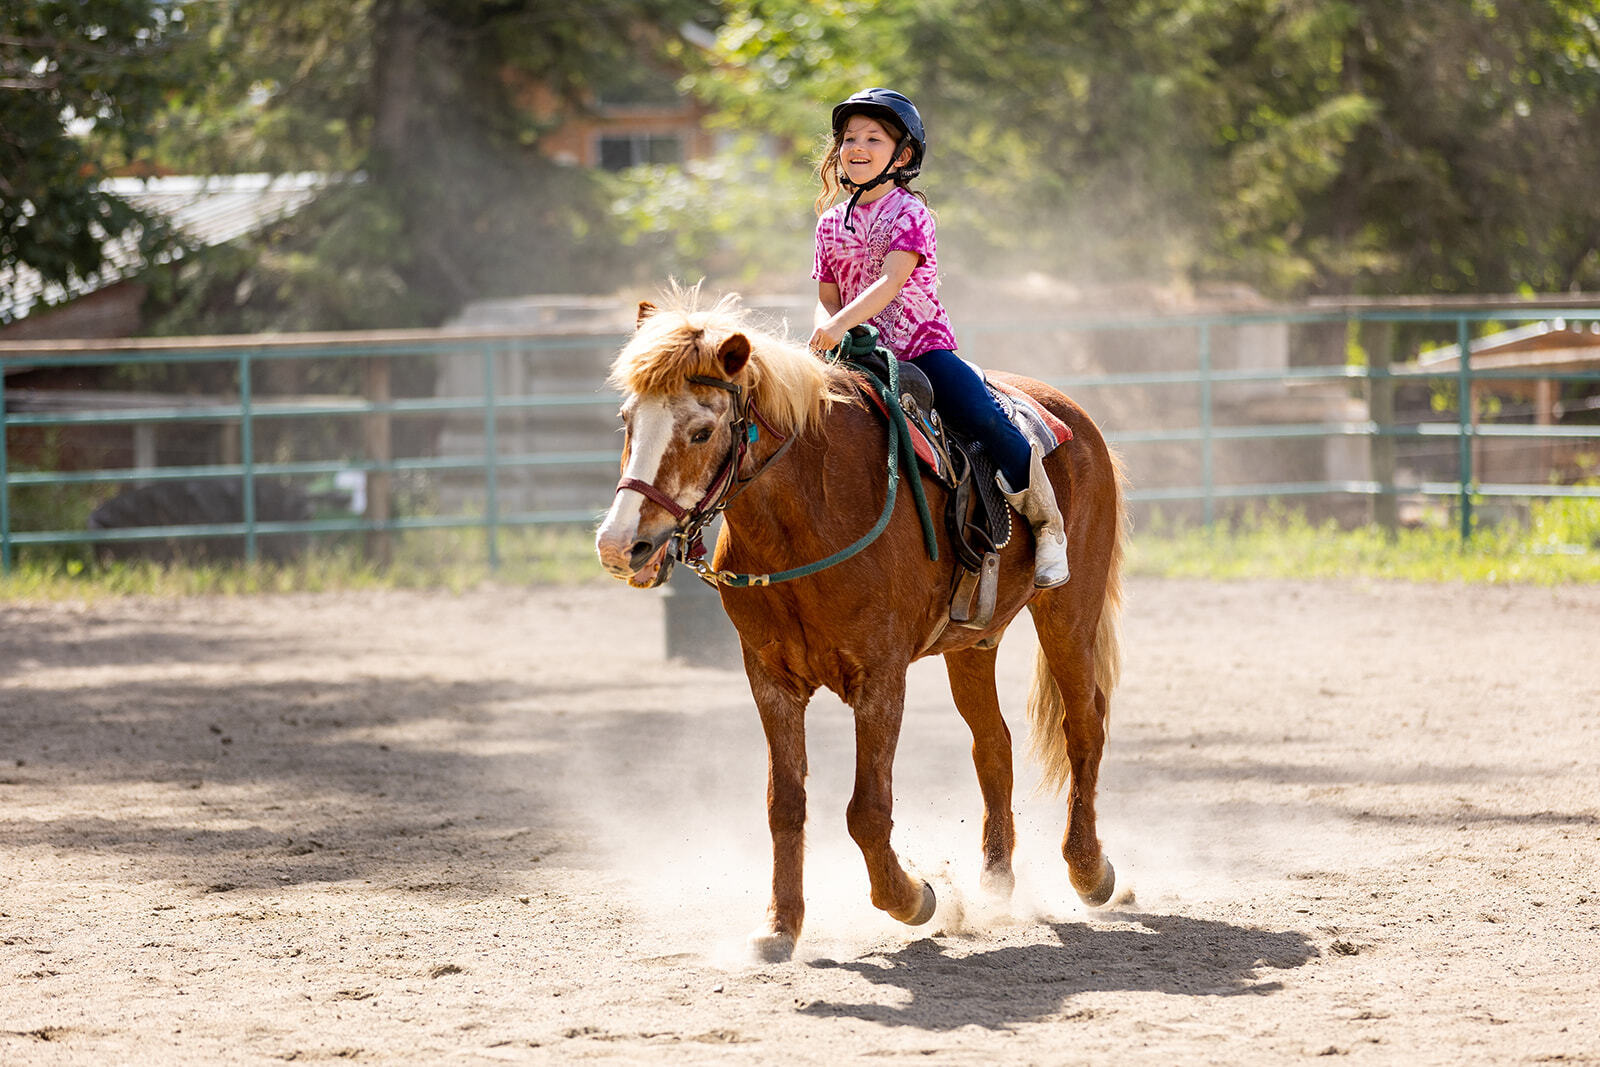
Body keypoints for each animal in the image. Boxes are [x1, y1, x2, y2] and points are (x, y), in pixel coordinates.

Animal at [595, 287, 1132, 966]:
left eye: (700, 430)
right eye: (627, 421)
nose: (620, 546)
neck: (817, 511)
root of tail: (1074, 417)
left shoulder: (880, 679)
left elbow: (867, 810)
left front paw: (913, 898)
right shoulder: (770, 679)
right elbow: (785, 804)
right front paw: (779, 927)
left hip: (1069, 613)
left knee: (1084, 723)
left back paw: (1090, 871)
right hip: (972, 644)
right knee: (994, 744)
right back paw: (994, 883)